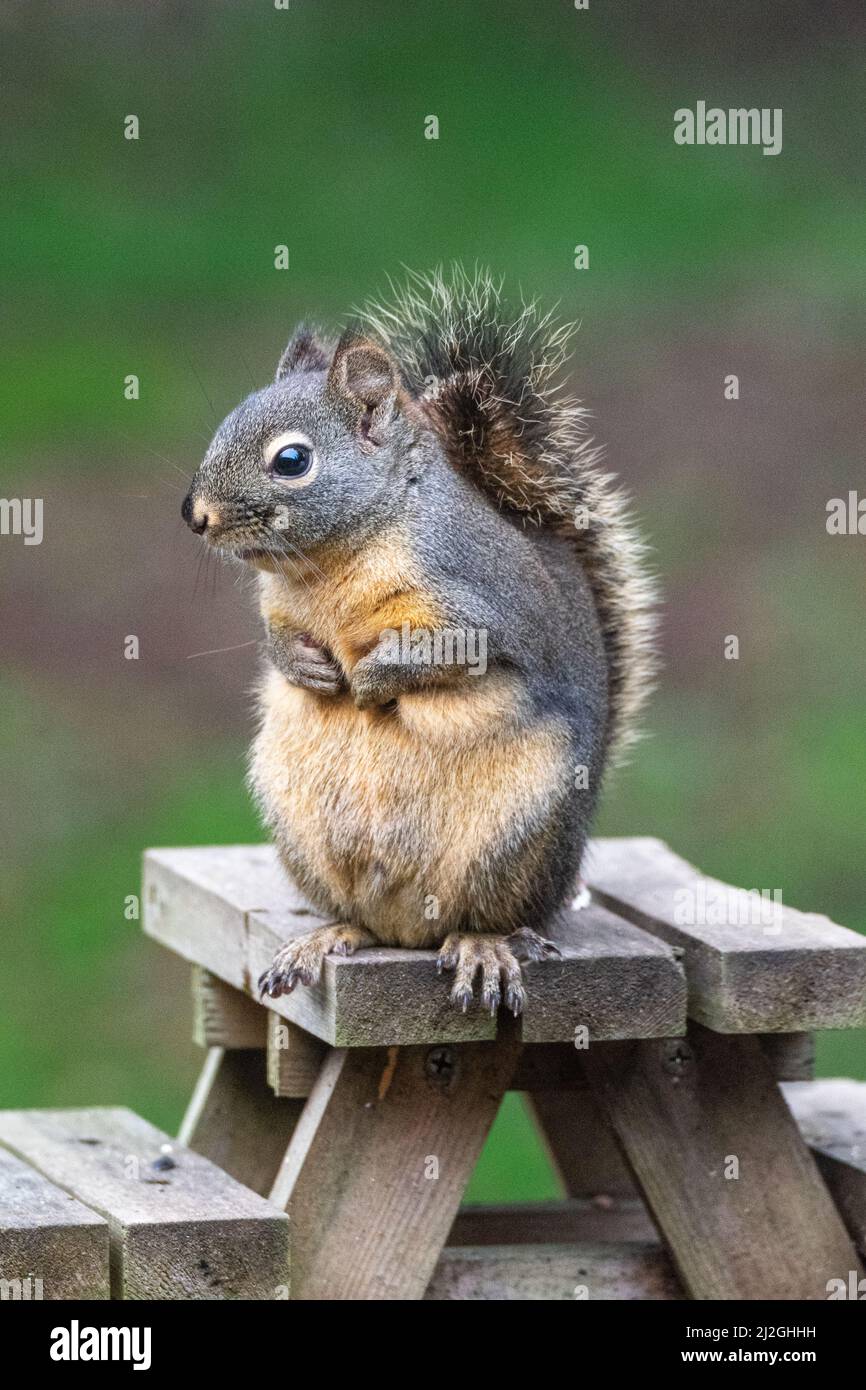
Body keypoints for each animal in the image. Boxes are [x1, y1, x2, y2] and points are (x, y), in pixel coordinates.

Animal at [182, 268, 657, 1015]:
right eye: (225, 423)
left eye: (292, 459)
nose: (194, 515)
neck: (334, 561)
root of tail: (411, 926)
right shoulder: (278, 608)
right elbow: (277, 641)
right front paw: (309, 668)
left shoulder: (477, 604)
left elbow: (446, 653)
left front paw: (373, 680)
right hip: (299, 825)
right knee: (363, 921)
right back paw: (328, 936)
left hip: (516, 835)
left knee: (493, 916)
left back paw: (482, 945)